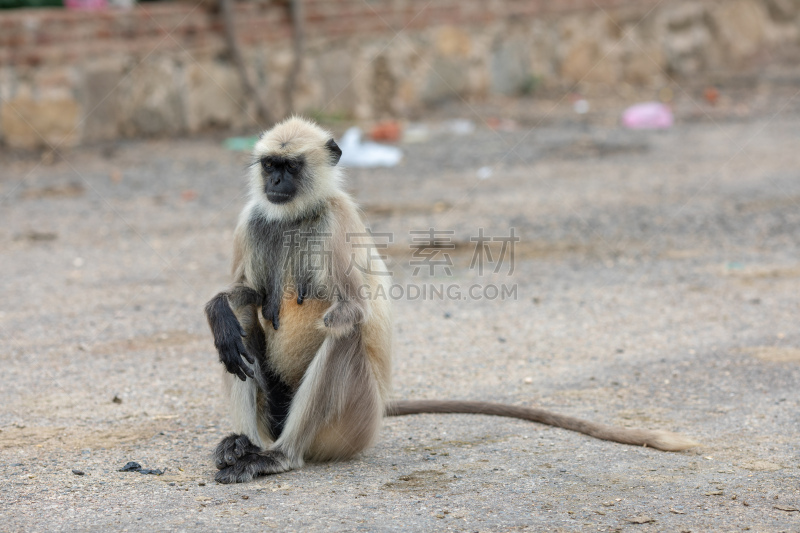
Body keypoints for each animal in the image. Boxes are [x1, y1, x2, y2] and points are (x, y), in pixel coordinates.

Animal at [203, 116, 696, 482]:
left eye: (291, 166)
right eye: (270, 165)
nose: (276, 180)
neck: (296, 217)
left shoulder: (335, 222)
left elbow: (350, 313)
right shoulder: (254, 217)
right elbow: (246, 295)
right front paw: (217, 311)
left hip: (351, 425)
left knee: (345, 335)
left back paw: (280, 454)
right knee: (241, 325)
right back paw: (244, 441)